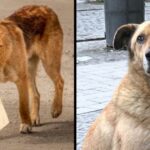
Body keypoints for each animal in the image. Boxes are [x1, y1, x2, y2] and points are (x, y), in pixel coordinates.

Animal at [0, 5, 63, 133]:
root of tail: (46, 8)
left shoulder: (21, 79)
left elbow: (22, 107)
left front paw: (25, 124)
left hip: (49, 63)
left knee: (59, 82)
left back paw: (56, 109)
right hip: (29, 71)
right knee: (36, 94)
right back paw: (34, 117)